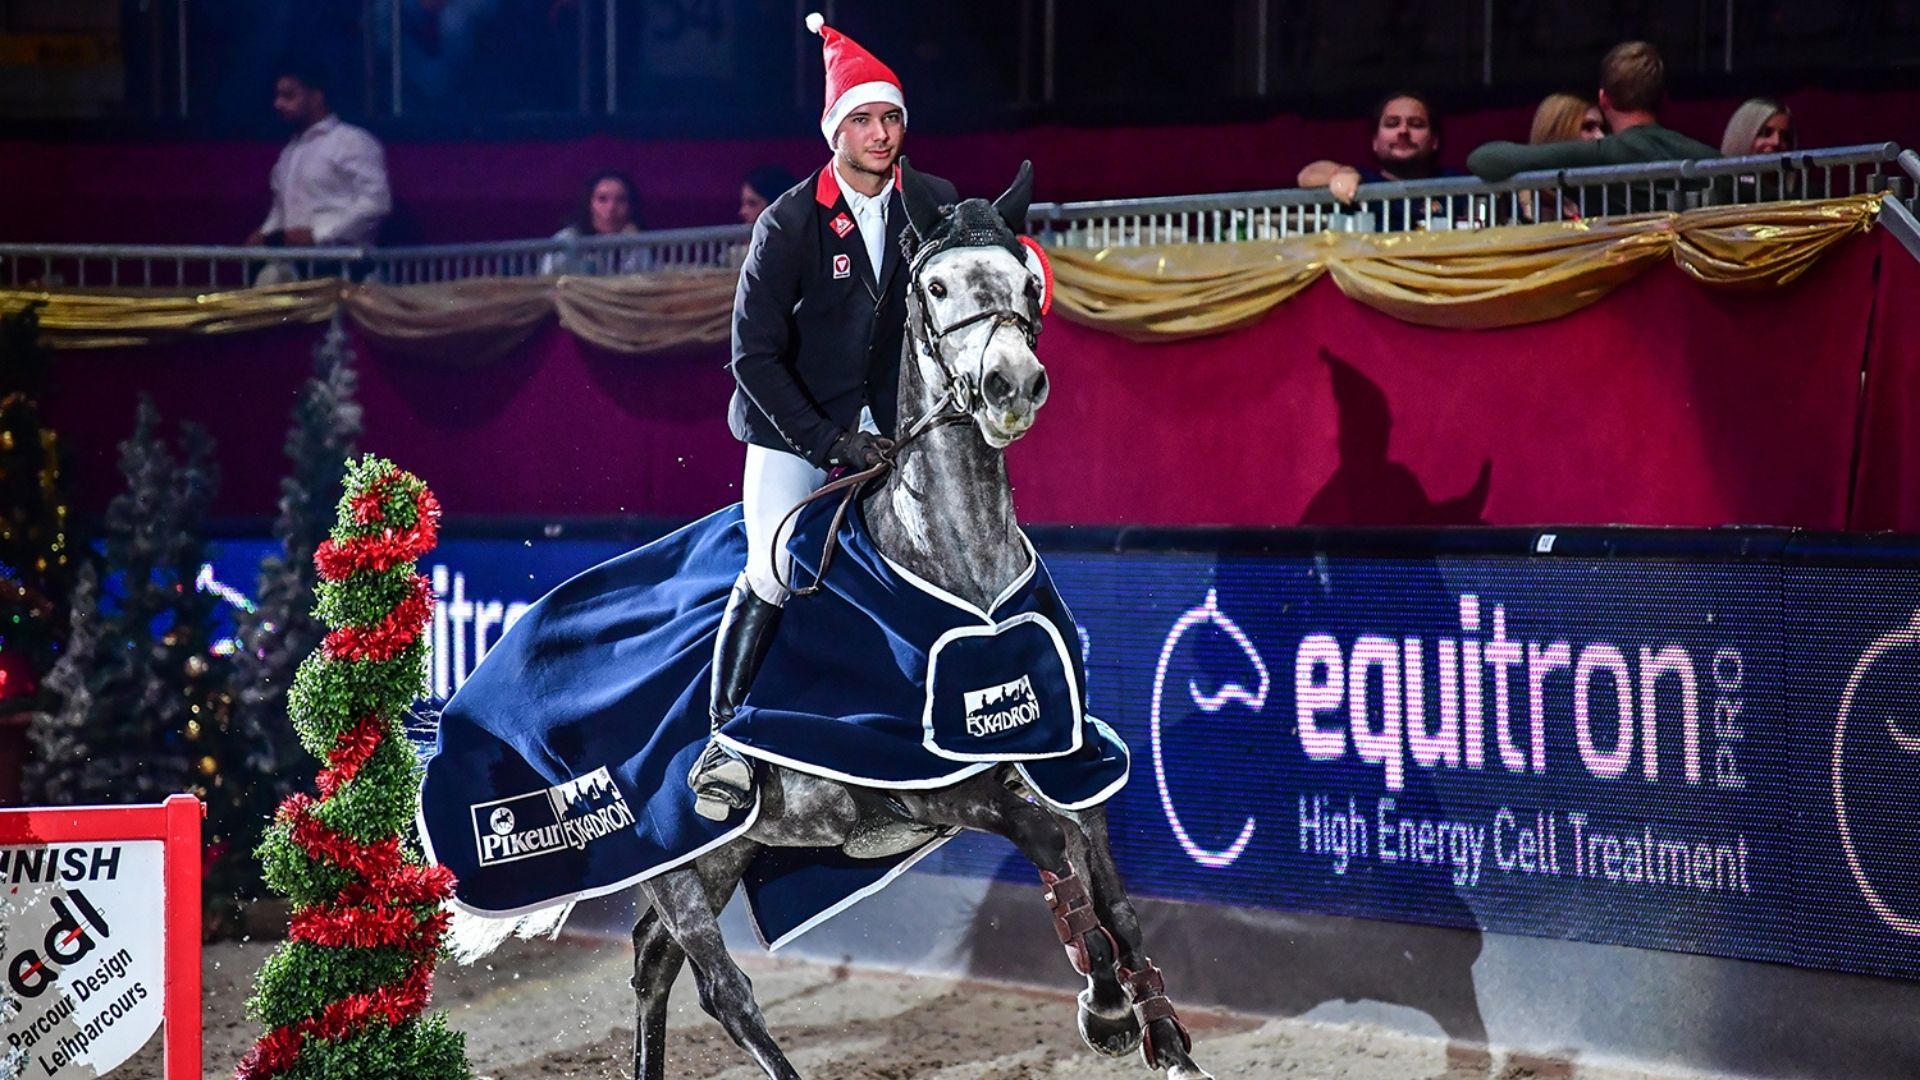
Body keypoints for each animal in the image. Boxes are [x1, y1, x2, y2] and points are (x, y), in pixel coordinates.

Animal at [621, 161, 1214, 1080]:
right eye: (934, 287)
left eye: (1029, 282)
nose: (1013, 387)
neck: (961, 566)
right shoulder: (926, 783)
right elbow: (1046, 840)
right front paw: (1105, 1003)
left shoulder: (1063, 751)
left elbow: (1112, 887)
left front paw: (1163, 1031)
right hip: (673, 861)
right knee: (722, 988)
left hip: (723, 856)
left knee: (656, 961)